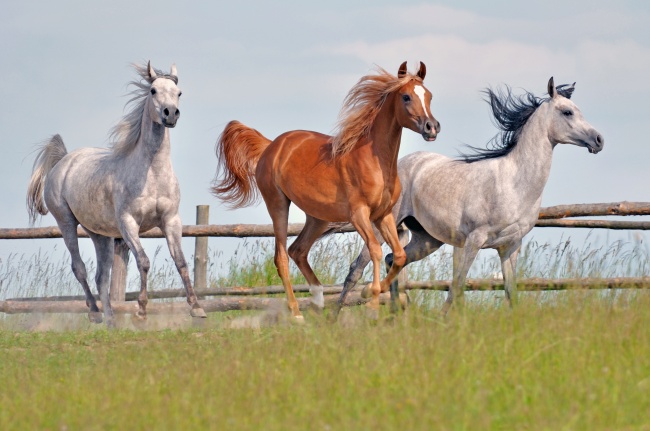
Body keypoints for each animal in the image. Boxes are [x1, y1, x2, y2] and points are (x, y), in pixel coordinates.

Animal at [26, 62, 205, 328]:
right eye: (152, 90)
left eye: (179, 92)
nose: (170, 114)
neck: (151, 173)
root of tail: (64, 161)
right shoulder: (128, 223)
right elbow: (143, 261)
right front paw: (141, 312)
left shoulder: (171, 220)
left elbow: (181, 261)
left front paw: (197, 308)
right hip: (66, 222)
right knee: (79, 267)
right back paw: (95, 313)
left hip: (99, 234)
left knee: (102, 275)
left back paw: (111, 320)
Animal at [210, 63, 438, 320]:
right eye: (406, 96)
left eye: (429, 96)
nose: (432, 127)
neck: (373, 160)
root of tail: (271, 146)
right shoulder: (359, 215)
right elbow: (376, 250)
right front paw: (370, 301)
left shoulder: (384, 214)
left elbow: (399, 255)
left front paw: (370, 292)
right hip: (278, 204)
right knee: (281, 257)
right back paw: (297, 314)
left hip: (318, 217)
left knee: (297, 250)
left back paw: (319, 301)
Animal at [334, 77, 604, 314]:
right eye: (567, 112)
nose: (599, 140)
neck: (514, 183)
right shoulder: (473, 241)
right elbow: (456, 287)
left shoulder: (510, 247)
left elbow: (510, 293)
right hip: (381, 227)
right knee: (356, 269)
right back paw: (335, 319)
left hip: (427, 240)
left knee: (393, 259)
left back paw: (397, 317)